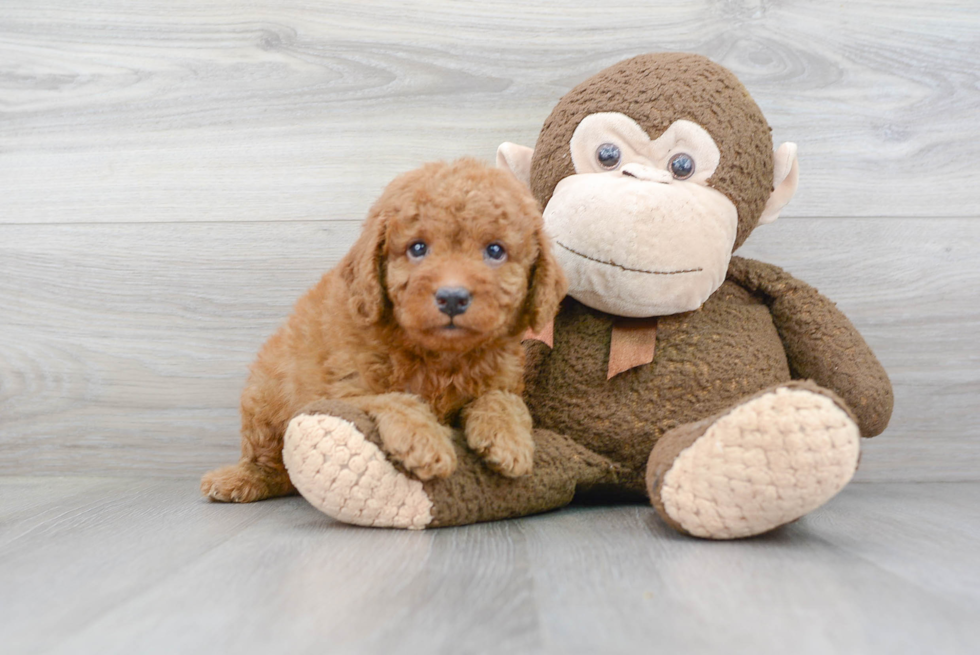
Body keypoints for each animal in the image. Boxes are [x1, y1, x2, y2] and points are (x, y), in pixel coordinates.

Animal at [200, 158, 568, 502]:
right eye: (418, 248)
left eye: (495, 250)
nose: (452, 297)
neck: (442, 357)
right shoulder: (343, 390)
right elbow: (394, 399)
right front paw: (426, 442)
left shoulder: (503, 376)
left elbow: (502, 399)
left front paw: (508, 440)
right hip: (264, 396)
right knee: (271, 461)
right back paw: (239, 480)